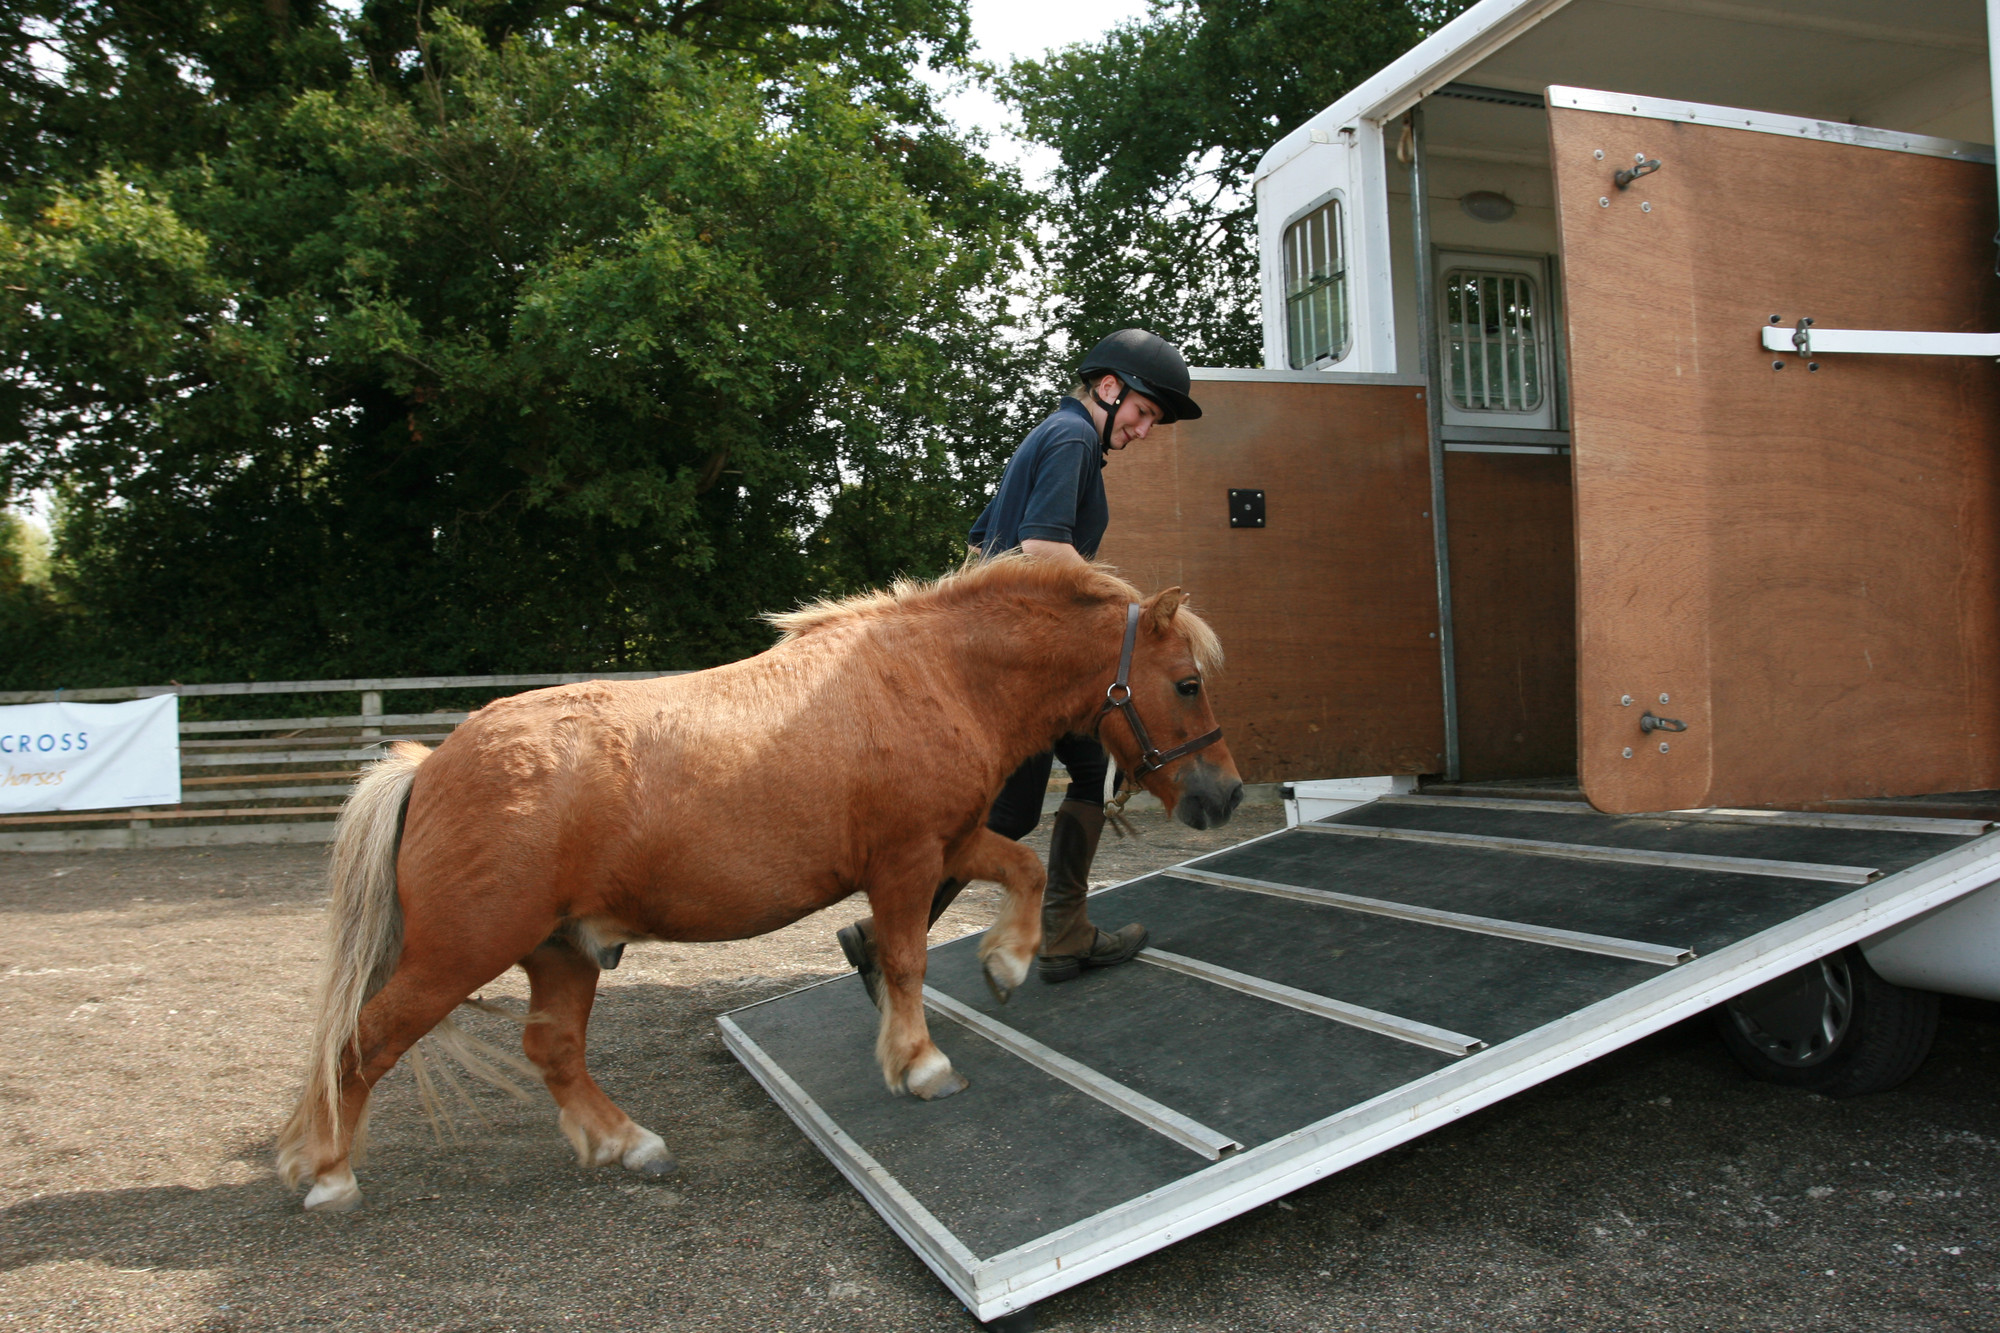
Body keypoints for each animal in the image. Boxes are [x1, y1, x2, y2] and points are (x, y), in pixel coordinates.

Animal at [274, 548, 1240, 1200]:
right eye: (1188, 683)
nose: (1224, 793)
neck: (934, 674)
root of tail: (428, 767)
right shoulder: (903, 860)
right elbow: (906, 960)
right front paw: (920, 1062)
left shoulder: (951, 841)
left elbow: (1029, 869)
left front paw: (1006, 962)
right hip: (461, 952)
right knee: (361, 1040)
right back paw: (323, 1170)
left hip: (563, 948)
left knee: (551, 1047)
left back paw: (625, 1142)